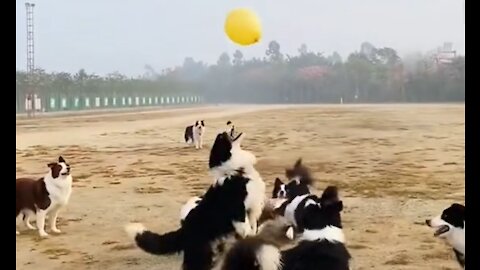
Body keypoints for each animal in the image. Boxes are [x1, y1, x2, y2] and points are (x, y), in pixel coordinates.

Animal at [125, 132, 264, 270]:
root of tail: (184, 229)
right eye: (221, 138)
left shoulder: (252, 209)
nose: (223, 132)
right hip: (200, 255)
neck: (235, 172)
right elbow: (247, 228)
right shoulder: (238, 210)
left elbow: (253, 227)